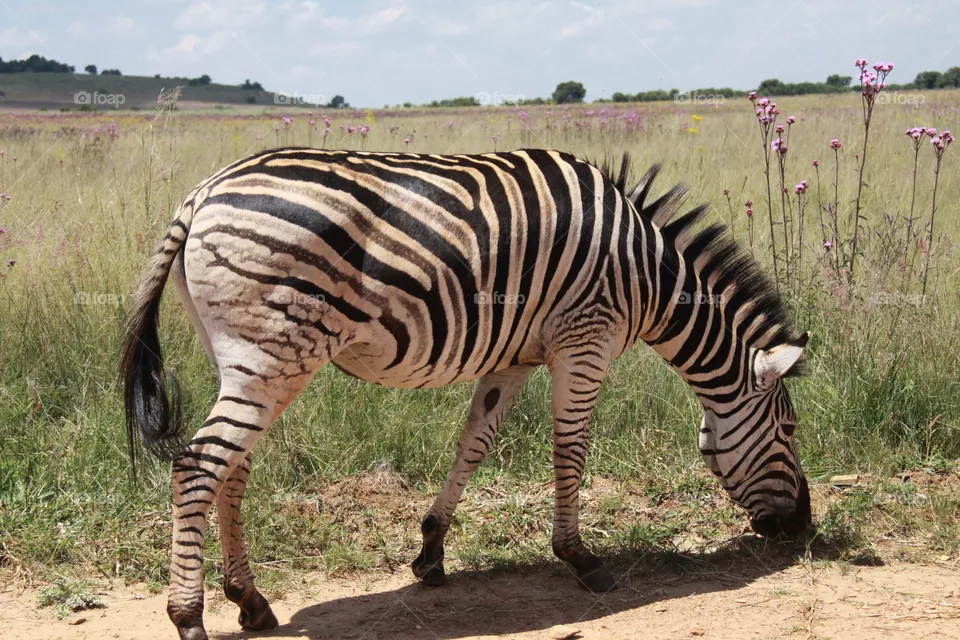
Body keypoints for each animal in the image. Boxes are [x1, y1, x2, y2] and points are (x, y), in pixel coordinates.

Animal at [121, 147, 811, 640]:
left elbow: (474, 444)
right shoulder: (585, 338)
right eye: (791, 430)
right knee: (197, 465)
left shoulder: (515, 357)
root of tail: (202, 194)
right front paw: (580, 557)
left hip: (245, 361)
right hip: (273, 354)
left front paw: (431, 552)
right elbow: (571, 450)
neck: (648, 276)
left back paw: (251, 602)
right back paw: (189, 617)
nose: (802, 529)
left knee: (230, 468)